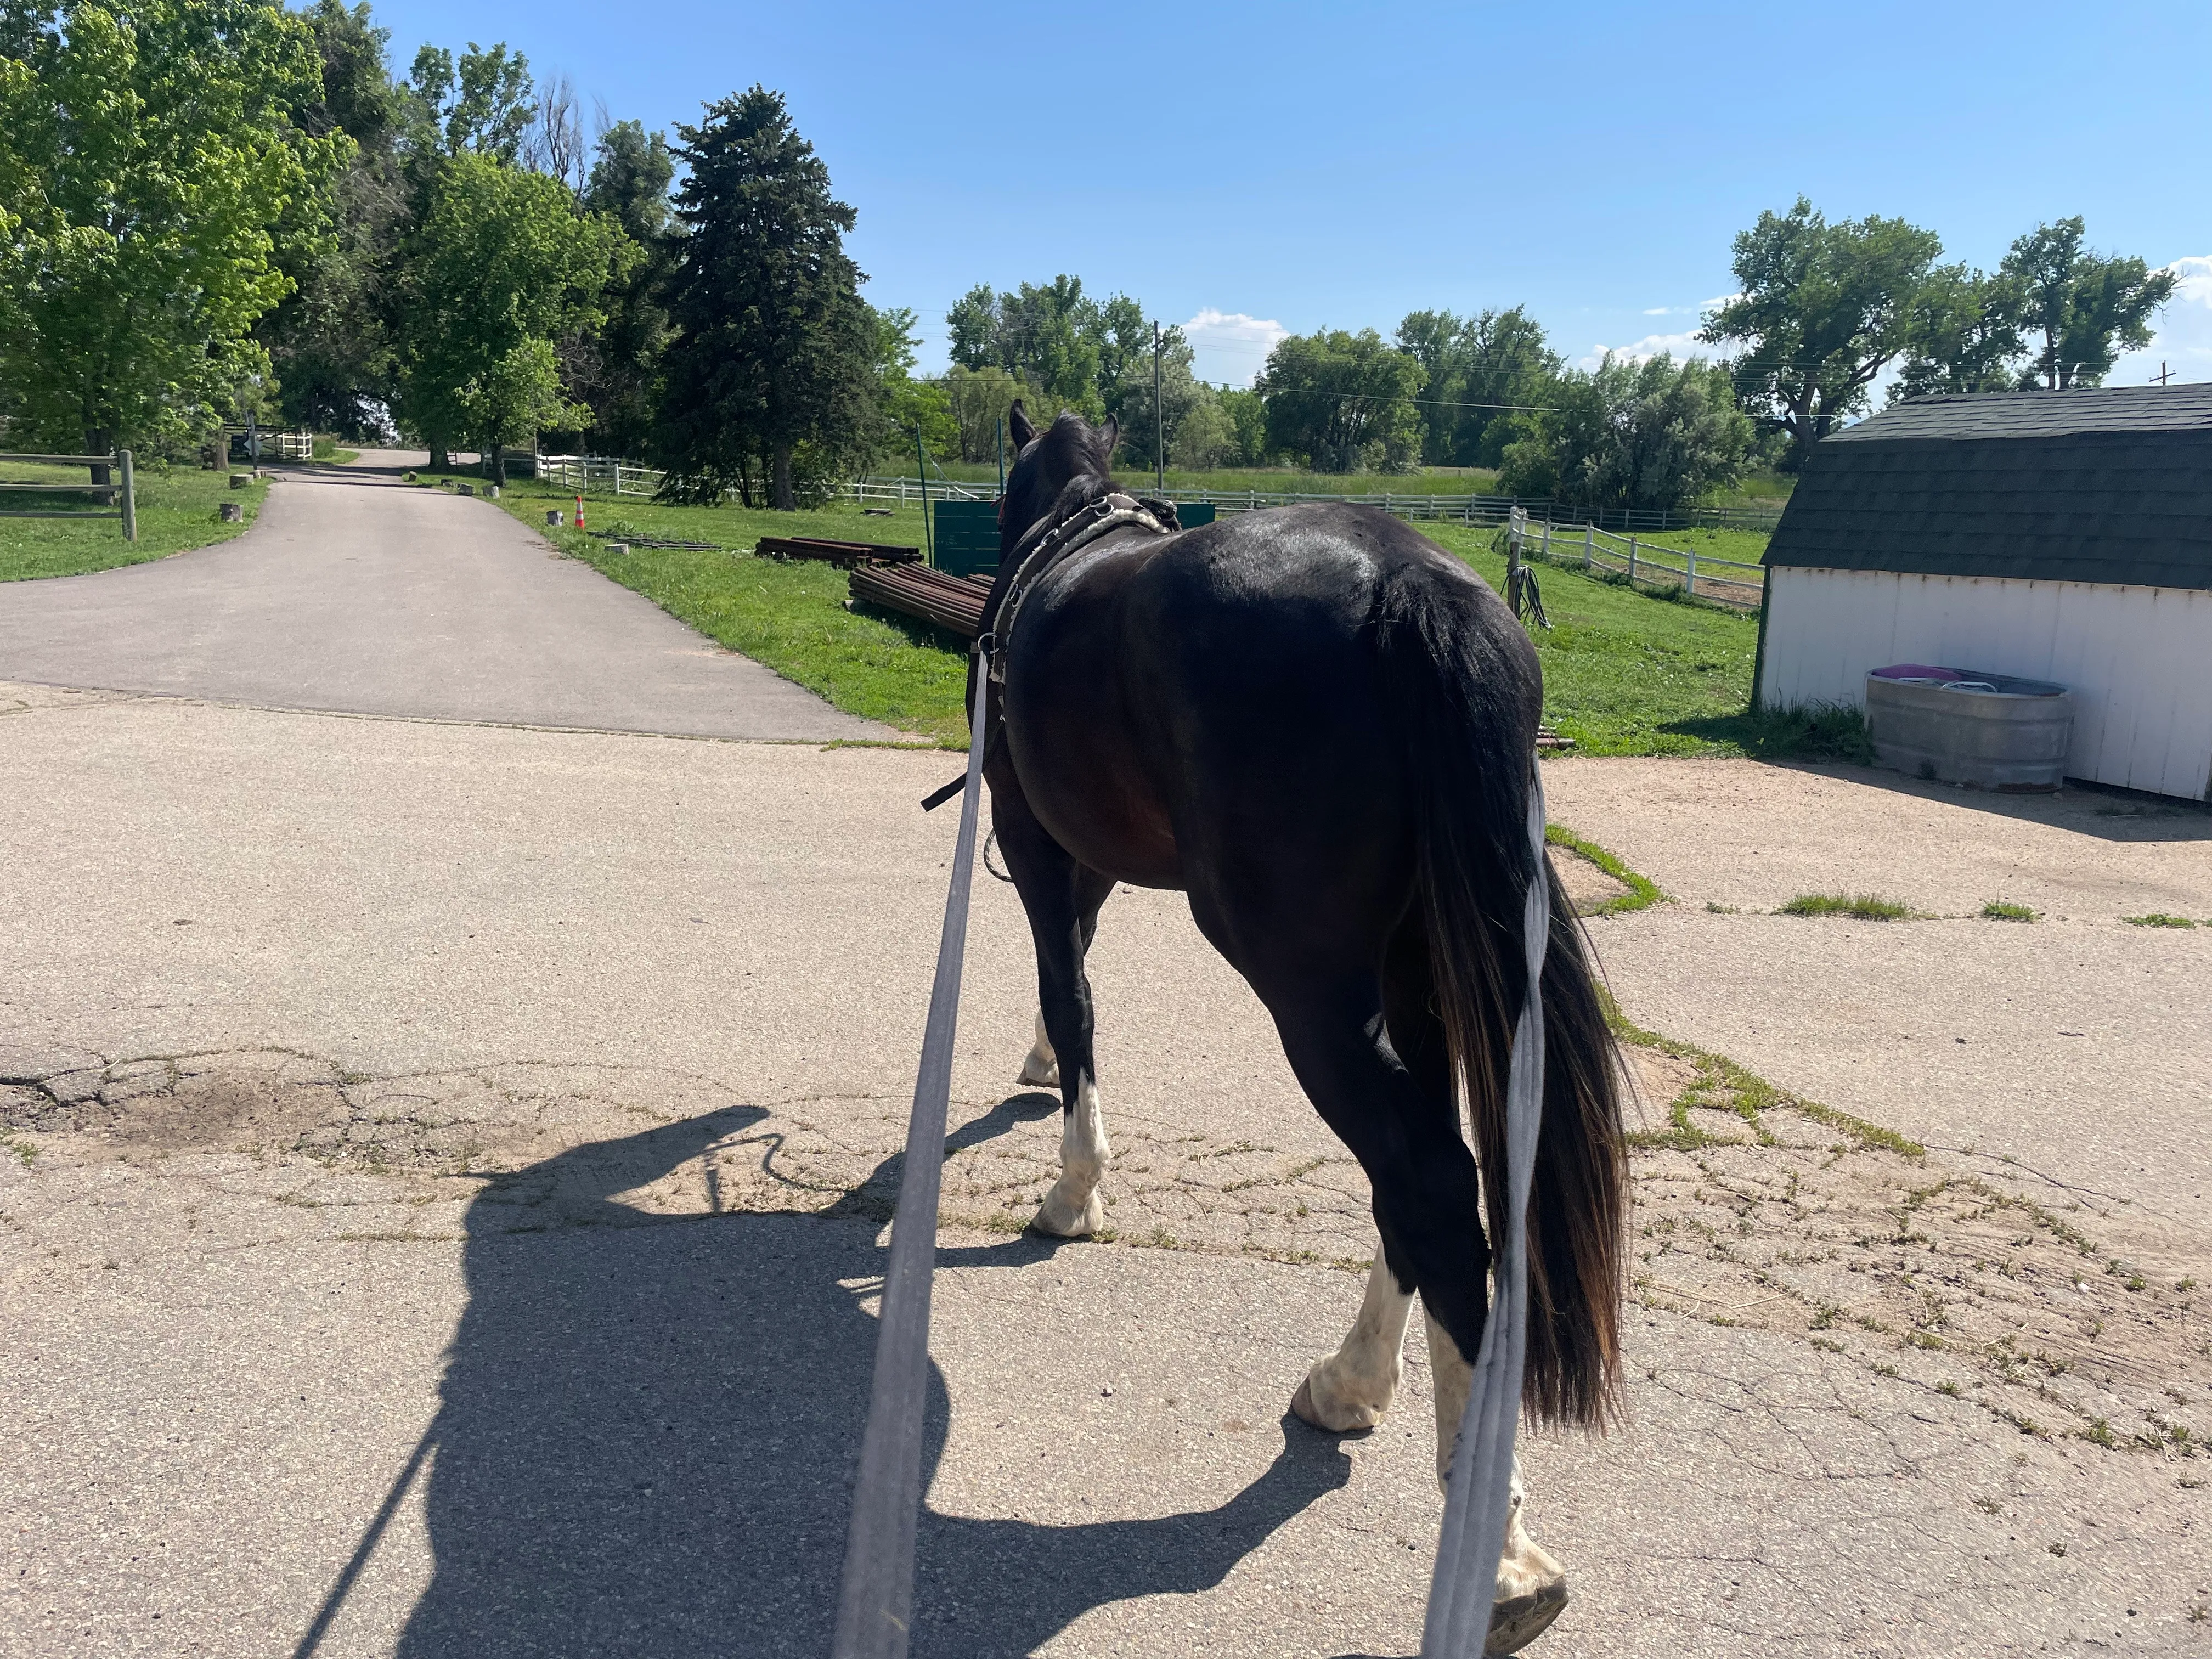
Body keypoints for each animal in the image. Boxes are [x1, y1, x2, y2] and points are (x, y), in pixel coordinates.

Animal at [972, 403, 1629, 1653]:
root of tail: (1411, 582)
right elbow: (1072, 972)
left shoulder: (1035, 840)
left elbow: (1070, 993)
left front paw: (1074, 1188)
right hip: (1419, 967)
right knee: (1428, 1180)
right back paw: (1354, 1384)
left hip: (1310, 989)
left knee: (1425, 1178)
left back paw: (1495, 1550)